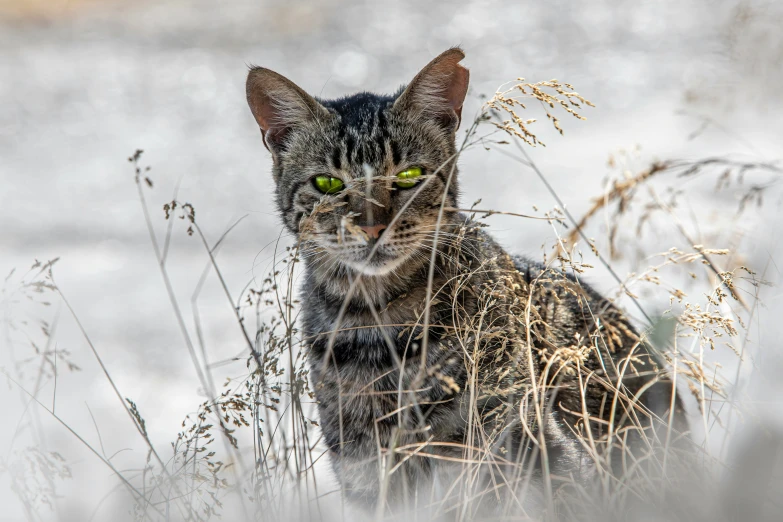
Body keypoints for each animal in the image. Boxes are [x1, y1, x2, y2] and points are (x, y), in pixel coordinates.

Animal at [245, 48, 688, 516]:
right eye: (328, 183)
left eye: (410, 176)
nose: (372, 227)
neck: (376, 322)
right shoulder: (365, 468)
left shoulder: (506, 446)